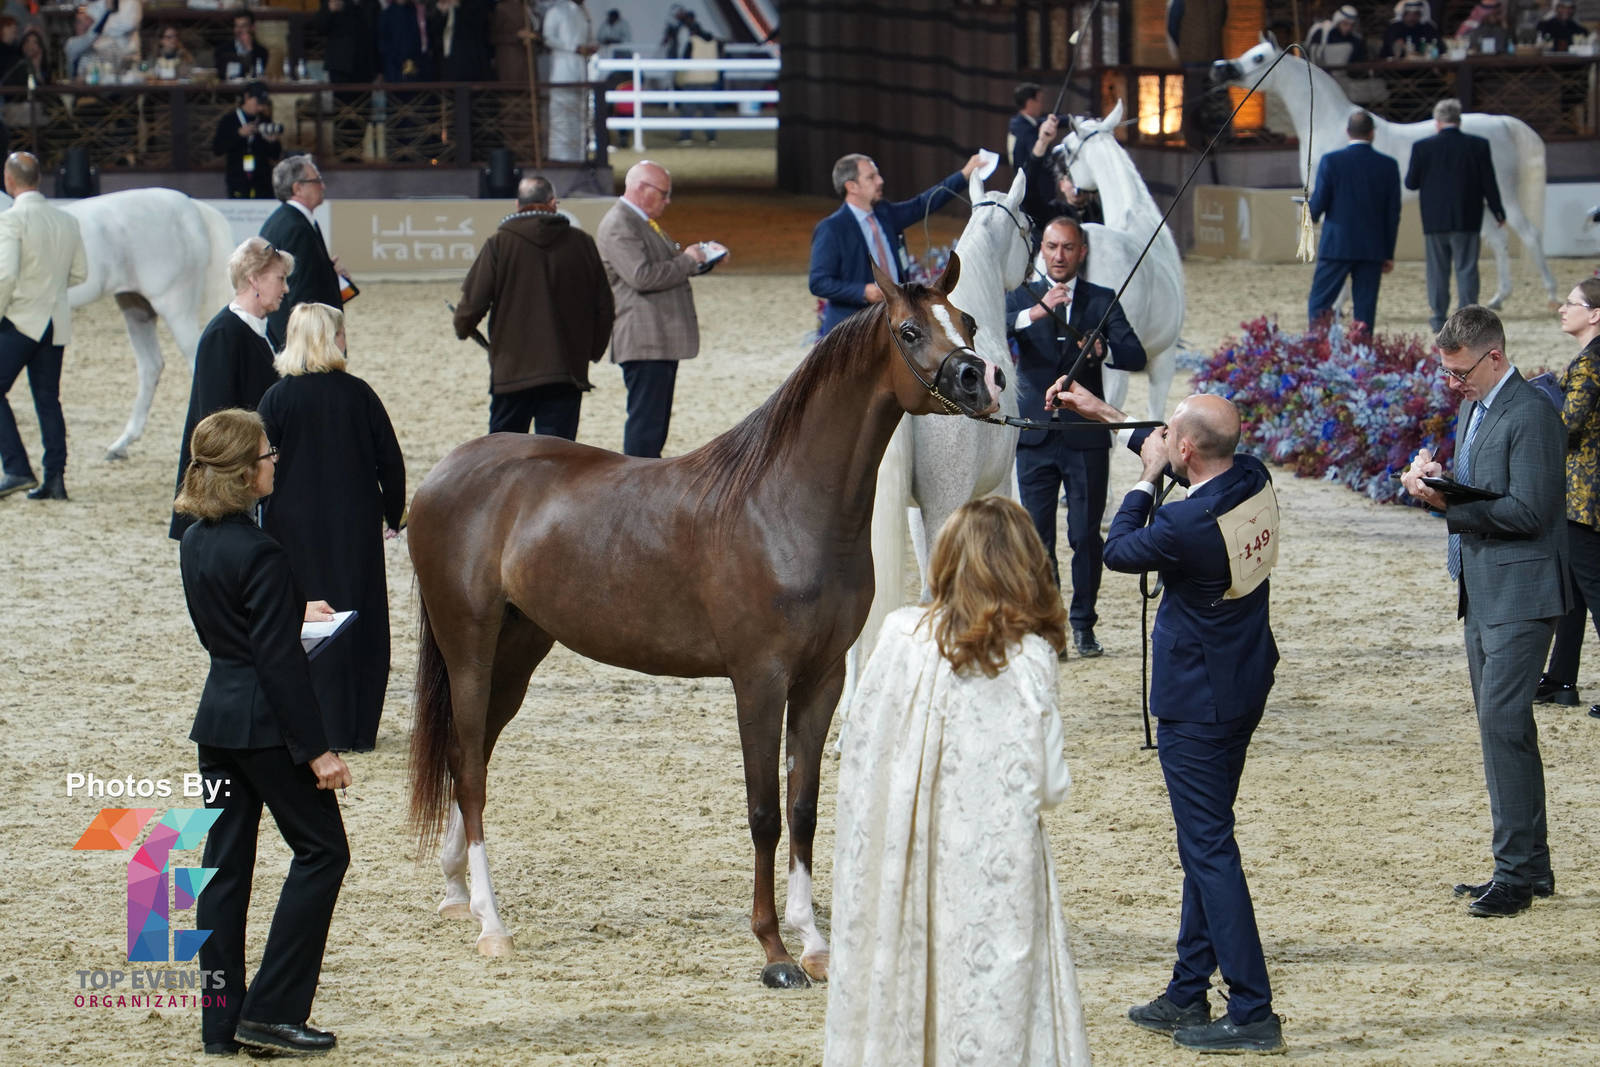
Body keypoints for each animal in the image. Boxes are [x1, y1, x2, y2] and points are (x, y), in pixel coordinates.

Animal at [406, 256, 1004, 989]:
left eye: (966, 321)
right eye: (911, 330)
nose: (981, 380)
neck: (784, 503)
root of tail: (442, 474)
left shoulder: (822, 680)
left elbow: (804, 808)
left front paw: (814, 940)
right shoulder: (759, 682)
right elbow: (765, 813)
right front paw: (774, 952)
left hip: (518, 650)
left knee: (472, 755)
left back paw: (456, 891)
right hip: (468, 644)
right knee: (468, 768)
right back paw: (492, 923)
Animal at [1212, 36, 1559, 310]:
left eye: (1258, 57)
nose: (1219, 67)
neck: (1330, 123)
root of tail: (1502, 122)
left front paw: (1337, 305)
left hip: (1504, 196)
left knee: (1530, 234)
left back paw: (1552, 295)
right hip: (1480, 203)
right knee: (1498, 242)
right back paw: (1497, 300)